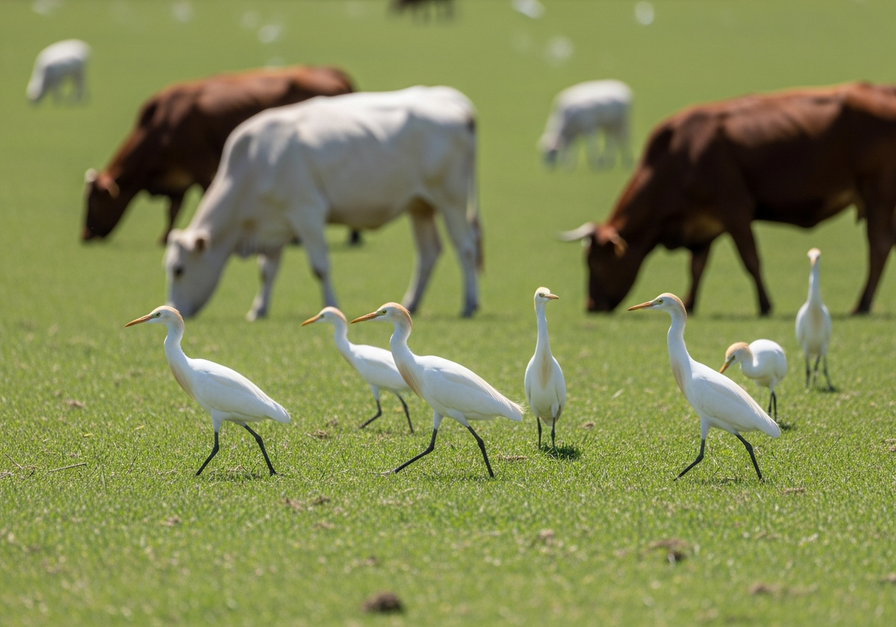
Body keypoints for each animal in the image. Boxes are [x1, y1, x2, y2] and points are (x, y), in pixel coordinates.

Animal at [82, 65, 354, 244]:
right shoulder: (178, 181)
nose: (85, 235)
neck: (163, 126)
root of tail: (334, 72)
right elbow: (173, 210)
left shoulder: (202, 169)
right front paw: (165, 237)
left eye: (93, 201)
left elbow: (205, 199)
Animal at [164, 86, 482, 321]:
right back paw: (411, 303)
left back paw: (469, 304)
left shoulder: (307, 213)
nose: (175, 311)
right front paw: (259, 309)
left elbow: (320, 267)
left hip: (451, 200)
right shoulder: (275, 224)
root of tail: (451, 99)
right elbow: (267, 270)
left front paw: (331, 303)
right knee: (428, 254)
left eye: (178, 269)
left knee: (466, 247)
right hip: (420, 206)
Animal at [561, 82, 896, 316]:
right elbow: (697, 268)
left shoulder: (735, 211)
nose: (591, 305)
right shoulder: (702, 225)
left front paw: (765, 305)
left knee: (878, 247)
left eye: (596, 263)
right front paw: (689, 303)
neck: (681, 155)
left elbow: (751, 260)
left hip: (878, 195)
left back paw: (862, 304)